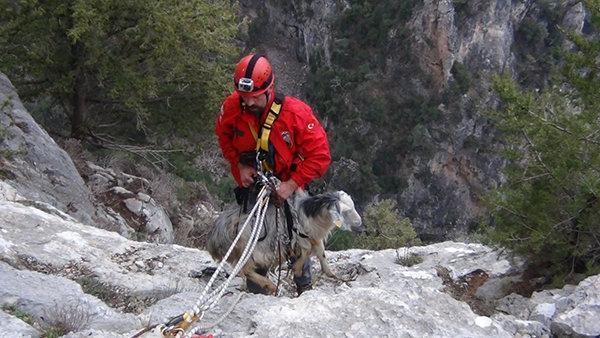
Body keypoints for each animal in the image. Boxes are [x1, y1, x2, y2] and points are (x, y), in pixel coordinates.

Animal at [206, 190, 364, 296]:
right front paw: (297, 268)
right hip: (250, 248)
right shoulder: (299, 236)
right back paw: (270, 285)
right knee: (245, 270)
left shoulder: (313, 237)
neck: (307, 213)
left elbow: (321, 254)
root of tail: (216, 235)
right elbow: (306, 251)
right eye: (346, 211)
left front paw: (334, 275)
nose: (360, 226)